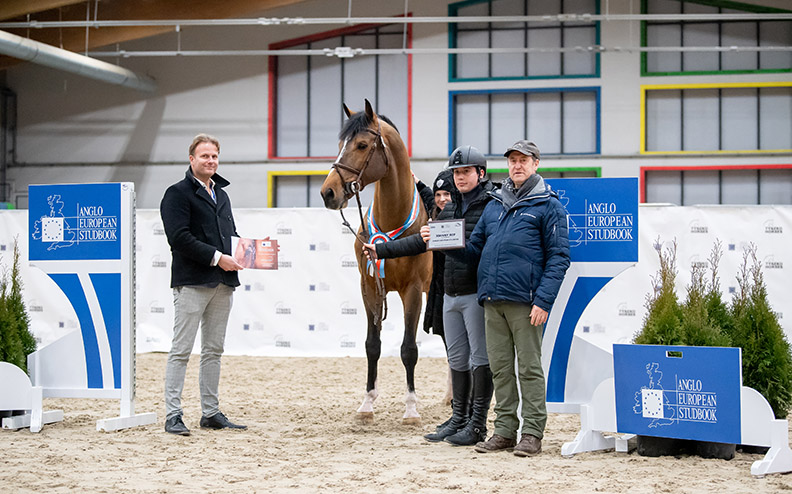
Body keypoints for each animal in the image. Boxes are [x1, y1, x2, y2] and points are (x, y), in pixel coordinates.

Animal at [320, 99, 432, 425]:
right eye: (340, 144)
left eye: (361, 145)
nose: (328, 192)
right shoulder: (369, 286)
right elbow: (372, 346)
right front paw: (367, 404)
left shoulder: (413, 290)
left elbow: (409, 349)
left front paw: (411, 409)